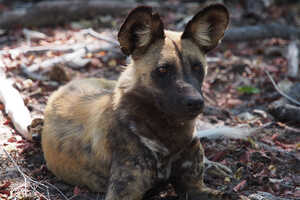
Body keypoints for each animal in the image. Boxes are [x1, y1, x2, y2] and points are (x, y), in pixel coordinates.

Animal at [41, 3, 237, 199]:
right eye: (163, 70)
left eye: (197, 68)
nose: (195, 102)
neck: (168, 134)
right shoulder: (124, 193)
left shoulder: (194, 187)